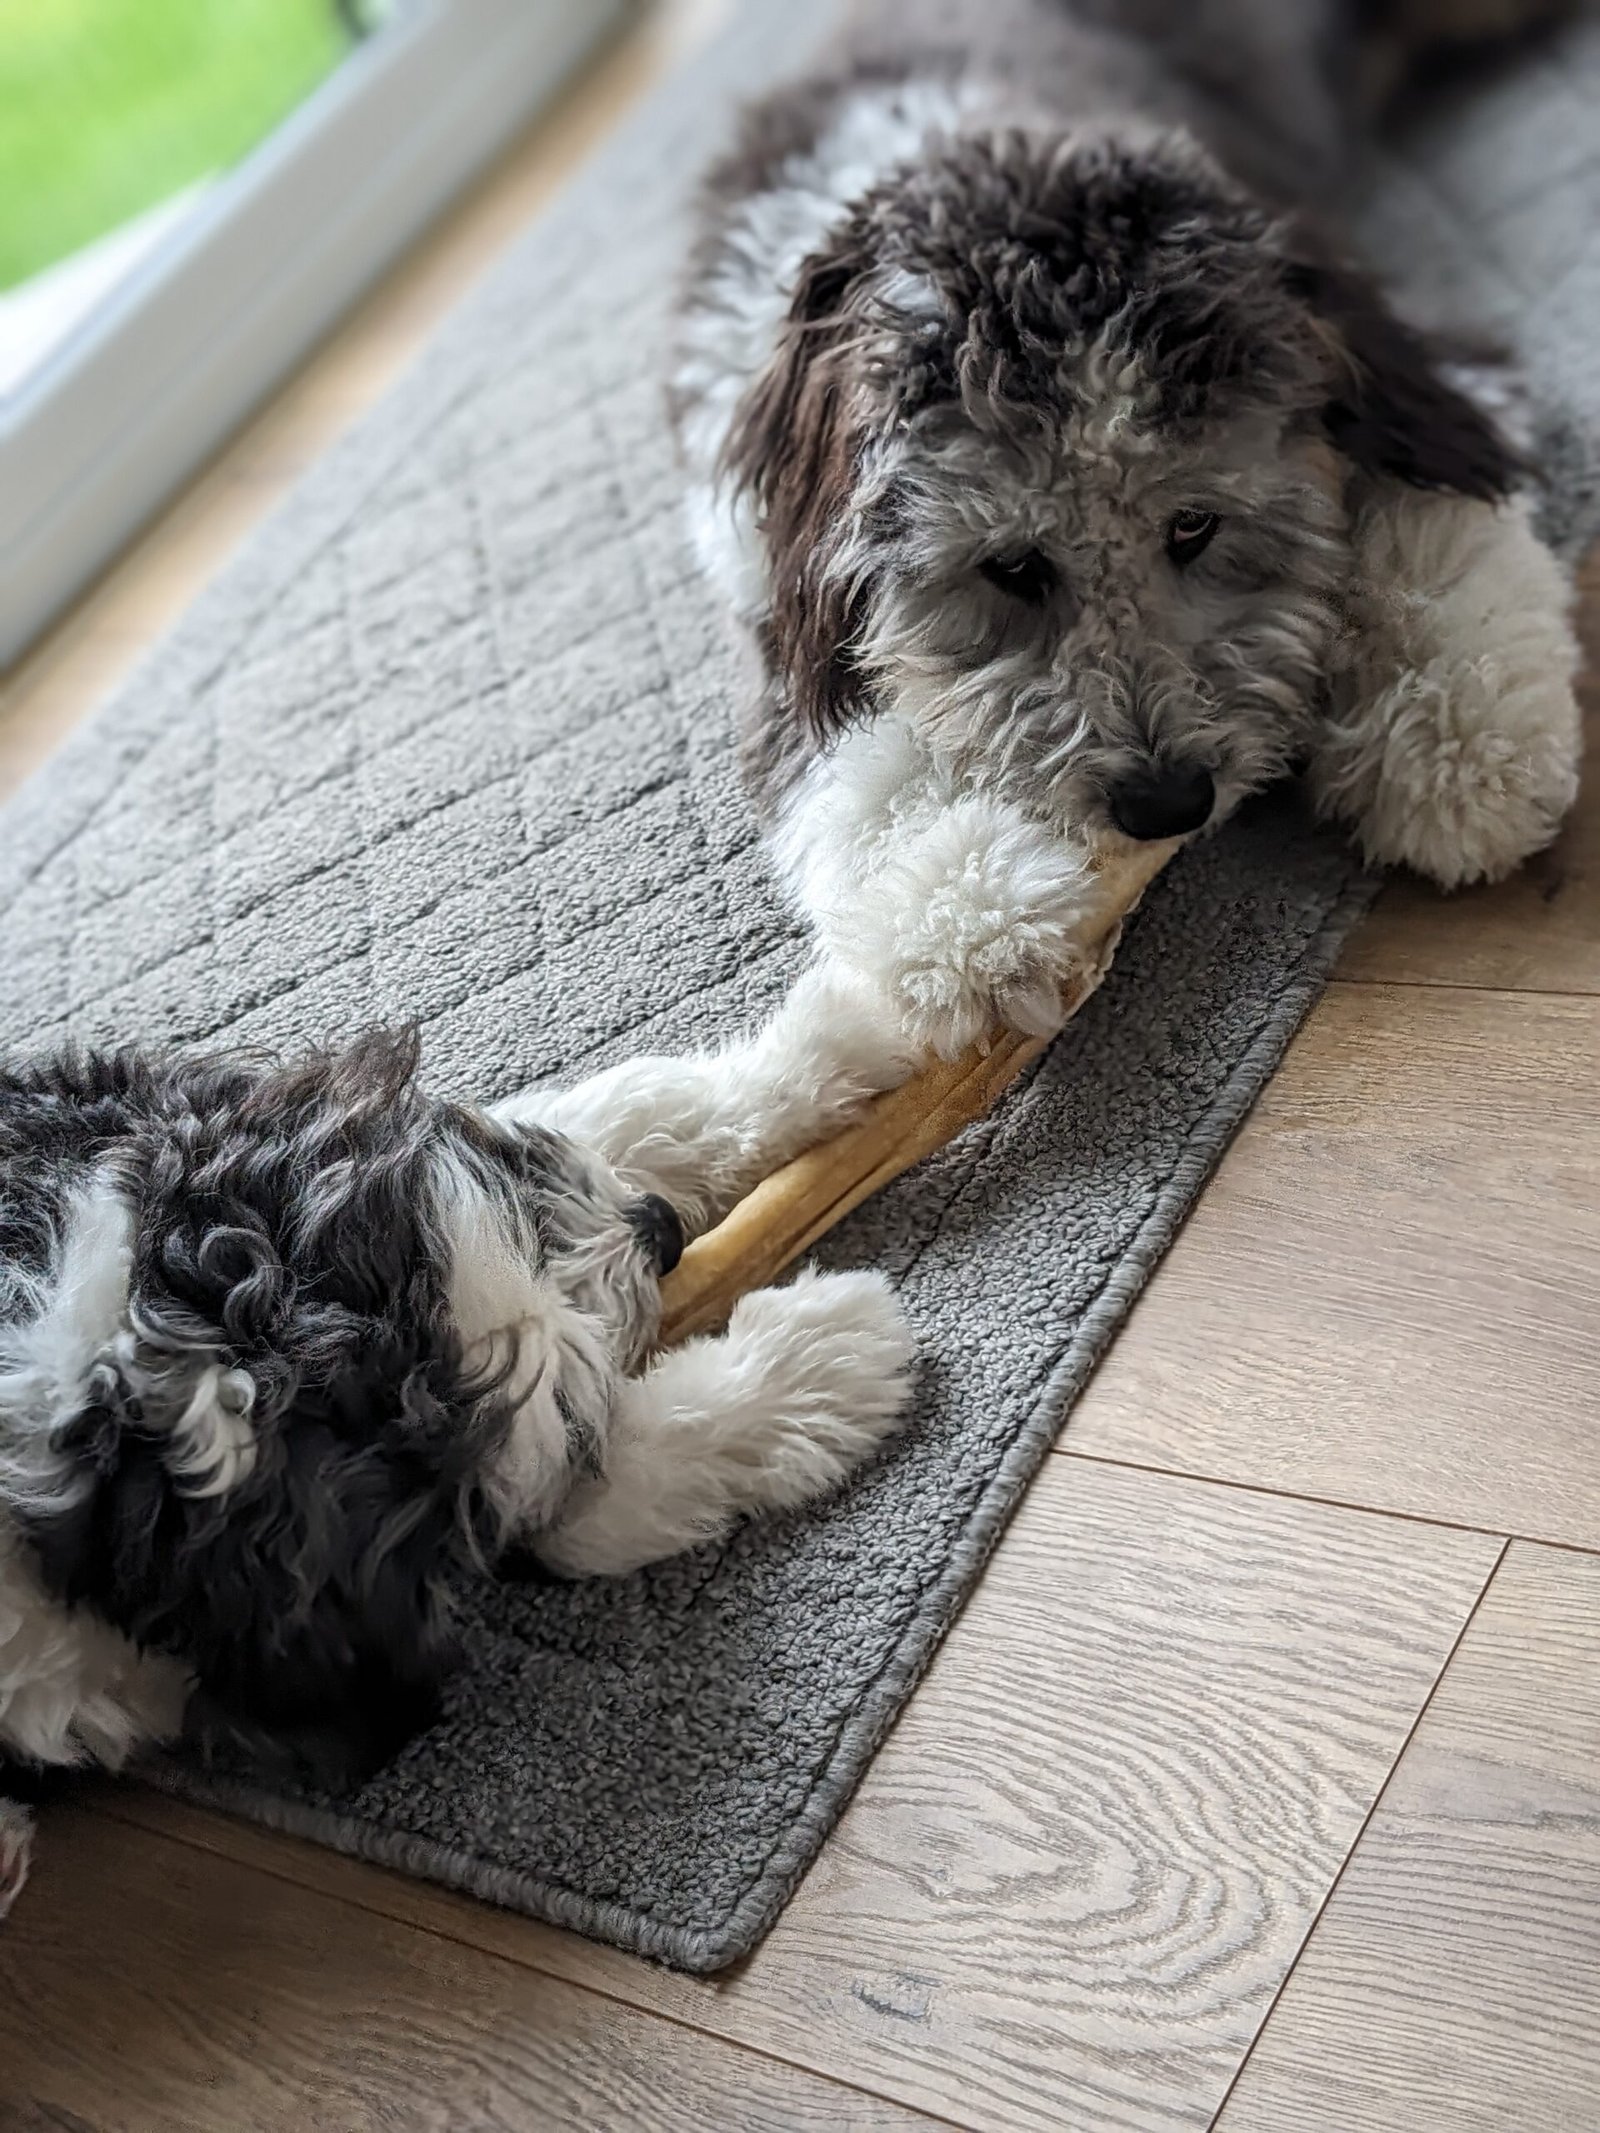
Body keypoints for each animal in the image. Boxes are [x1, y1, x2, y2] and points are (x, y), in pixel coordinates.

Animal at [0, 968, 921, 1919]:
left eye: (502, 1181)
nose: (660, 1230)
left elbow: (603, 1103)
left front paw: (834, 1038)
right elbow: (585, 1502)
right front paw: (820, 1356)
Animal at [669, 0, 1587, 1057]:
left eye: (1194, 523)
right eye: (1010, 564)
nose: (1166, 802)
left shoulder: (1436, 392)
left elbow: (1423, 537)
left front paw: (1461, 754)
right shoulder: (771, 592)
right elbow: (858, 757)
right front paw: (966, 922)